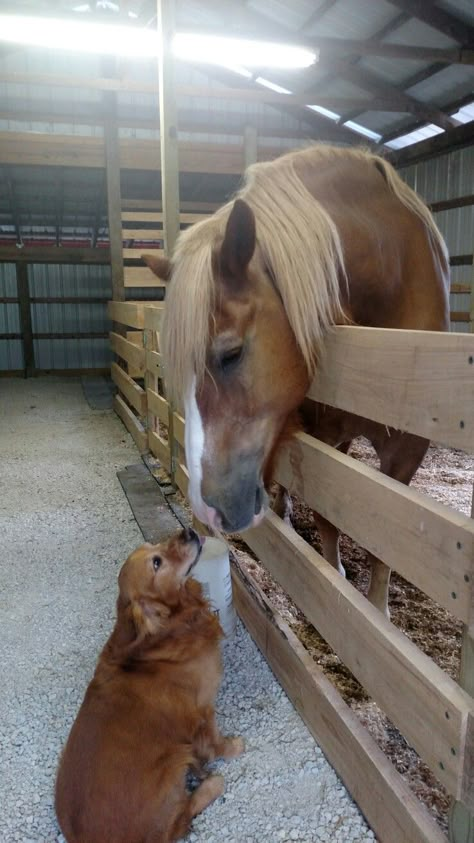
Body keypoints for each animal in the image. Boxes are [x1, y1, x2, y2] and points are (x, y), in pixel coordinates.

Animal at [54, 532, 244, 840]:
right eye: (157, 562)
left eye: (153, 547)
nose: (189, 532)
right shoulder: (203, 708)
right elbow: (214, 740)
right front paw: (232, 747)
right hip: (172, 762)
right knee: (179, 821)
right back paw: (212, 784)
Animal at [146, 143, 450, 620]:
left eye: (230, 353)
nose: (207, 510)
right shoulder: (327, 435)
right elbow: (328, 517)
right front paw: (334, 582)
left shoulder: (407, 447)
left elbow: (385, 545)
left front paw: (376, 608)